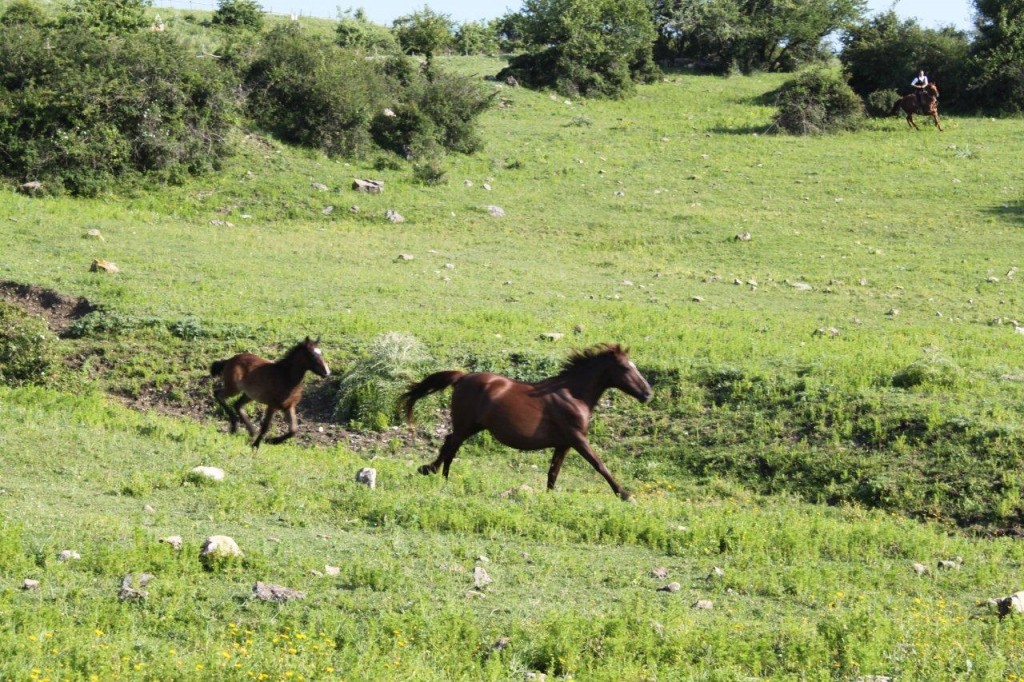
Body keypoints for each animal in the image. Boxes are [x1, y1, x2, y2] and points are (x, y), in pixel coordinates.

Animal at [395, 342, 651, 497]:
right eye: (625, 368)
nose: (648, 393)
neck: (573, 394)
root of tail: (462, 377)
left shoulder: (564, 443)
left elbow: (553, 472)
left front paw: (549, 496)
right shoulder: (578, 439)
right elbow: (599, 465)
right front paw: (625, 495)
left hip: (473, 427)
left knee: (451, 445)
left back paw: (441, 476)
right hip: (465, 425)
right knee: (450, 444)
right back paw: (434, 473)